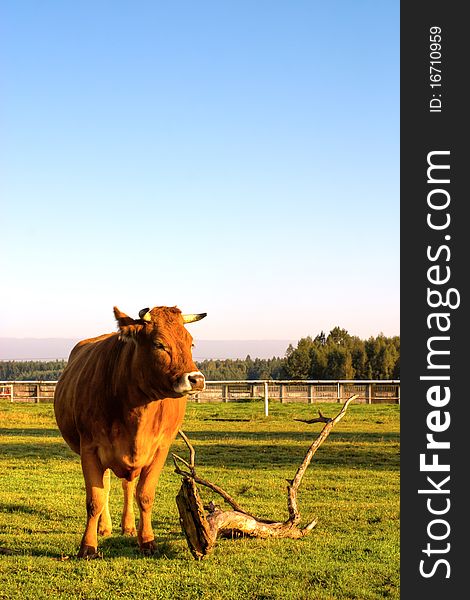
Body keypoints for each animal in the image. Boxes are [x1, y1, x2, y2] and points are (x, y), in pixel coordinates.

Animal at [53, 304, 206, 556]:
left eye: (191, 343)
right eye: (159, 344)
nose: (196, 379)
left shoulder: (160, 450)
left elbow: (144, 495)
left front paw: (147, 541)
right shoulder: (89, 449)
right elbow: (95, 498)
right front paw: (88, 545)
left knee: (127, 486)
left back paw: (128, 526)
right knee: (106, 486)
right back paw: (104, 527)